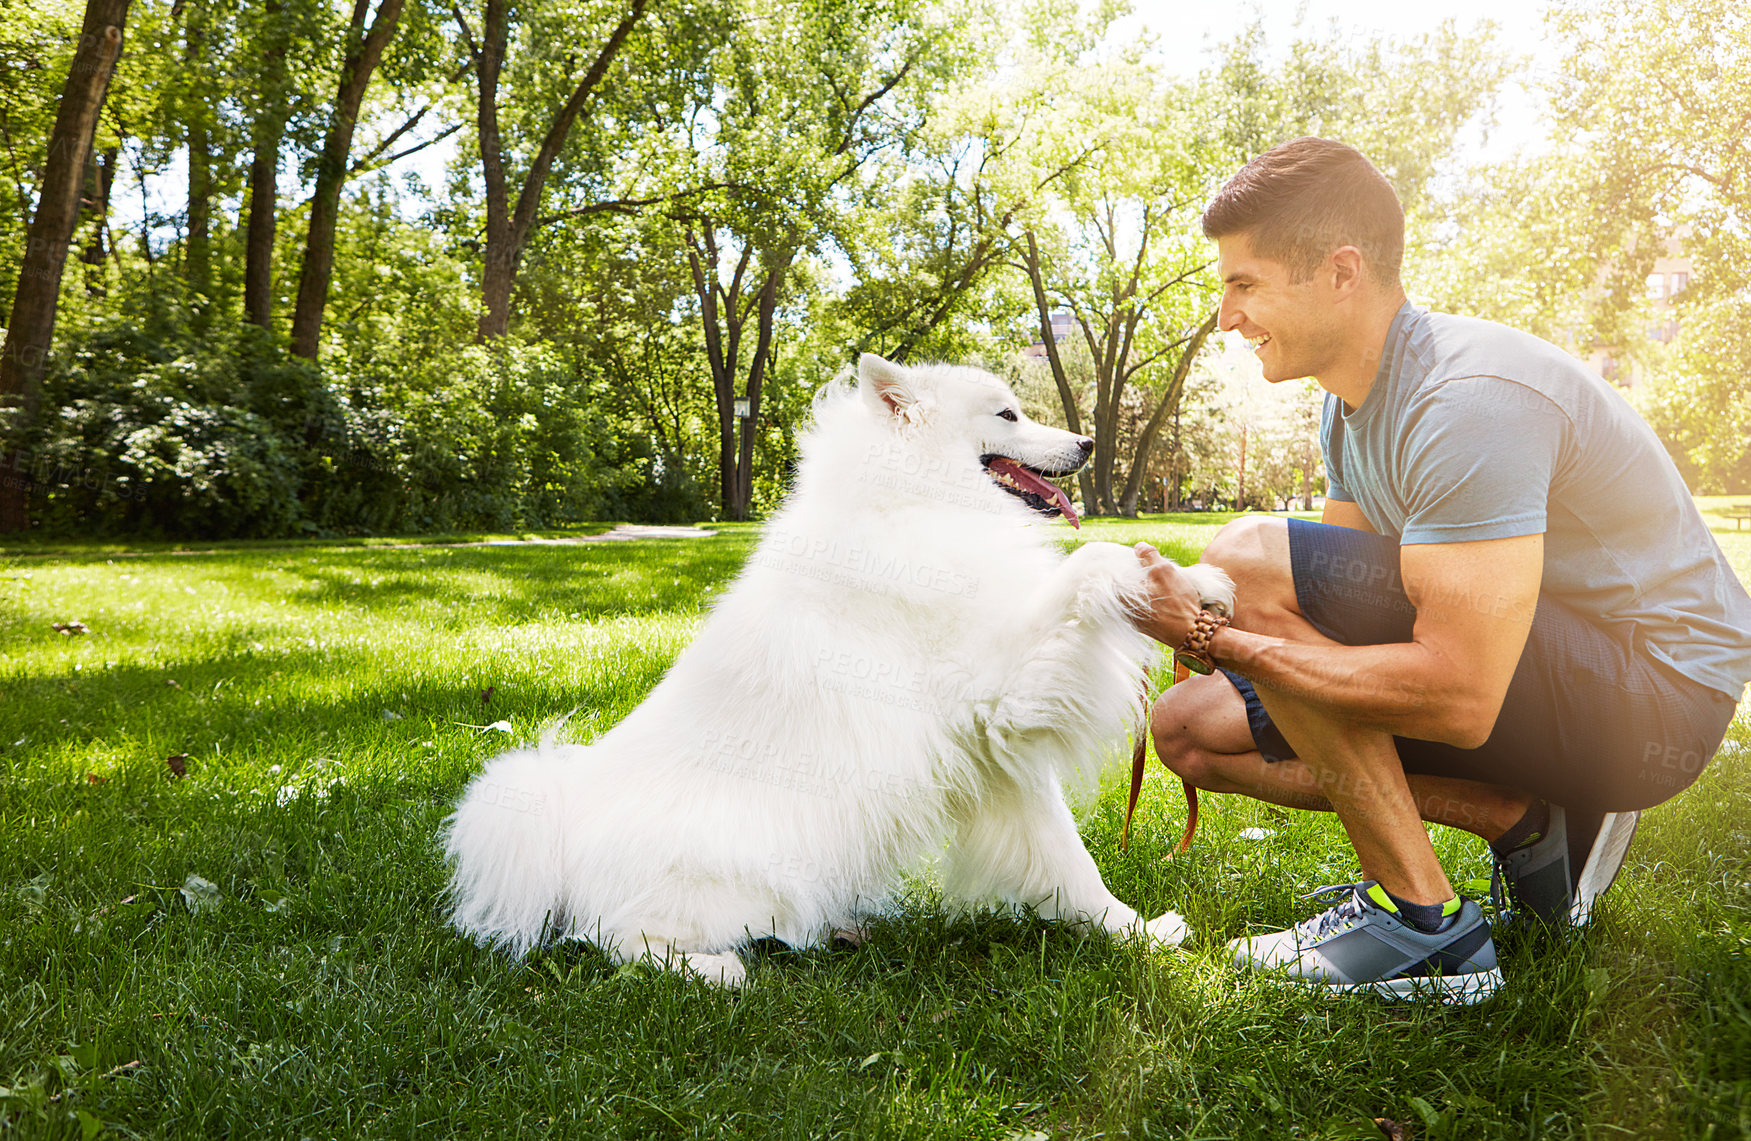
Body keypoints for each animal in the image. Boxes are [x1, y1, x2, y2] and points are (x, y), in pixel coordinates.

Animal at [444, 353, 1239, 980]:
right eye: (1008, 414)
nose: (1087, 440)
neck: (913, 500)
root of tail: (559, 829)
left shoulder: (998, 754)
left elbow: (1070, 861)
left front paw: (1133, 934)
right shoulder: (1001, 684)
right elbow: (1091, 561)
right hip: (739, 881)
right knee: (613, 937)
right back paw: (716, 969)